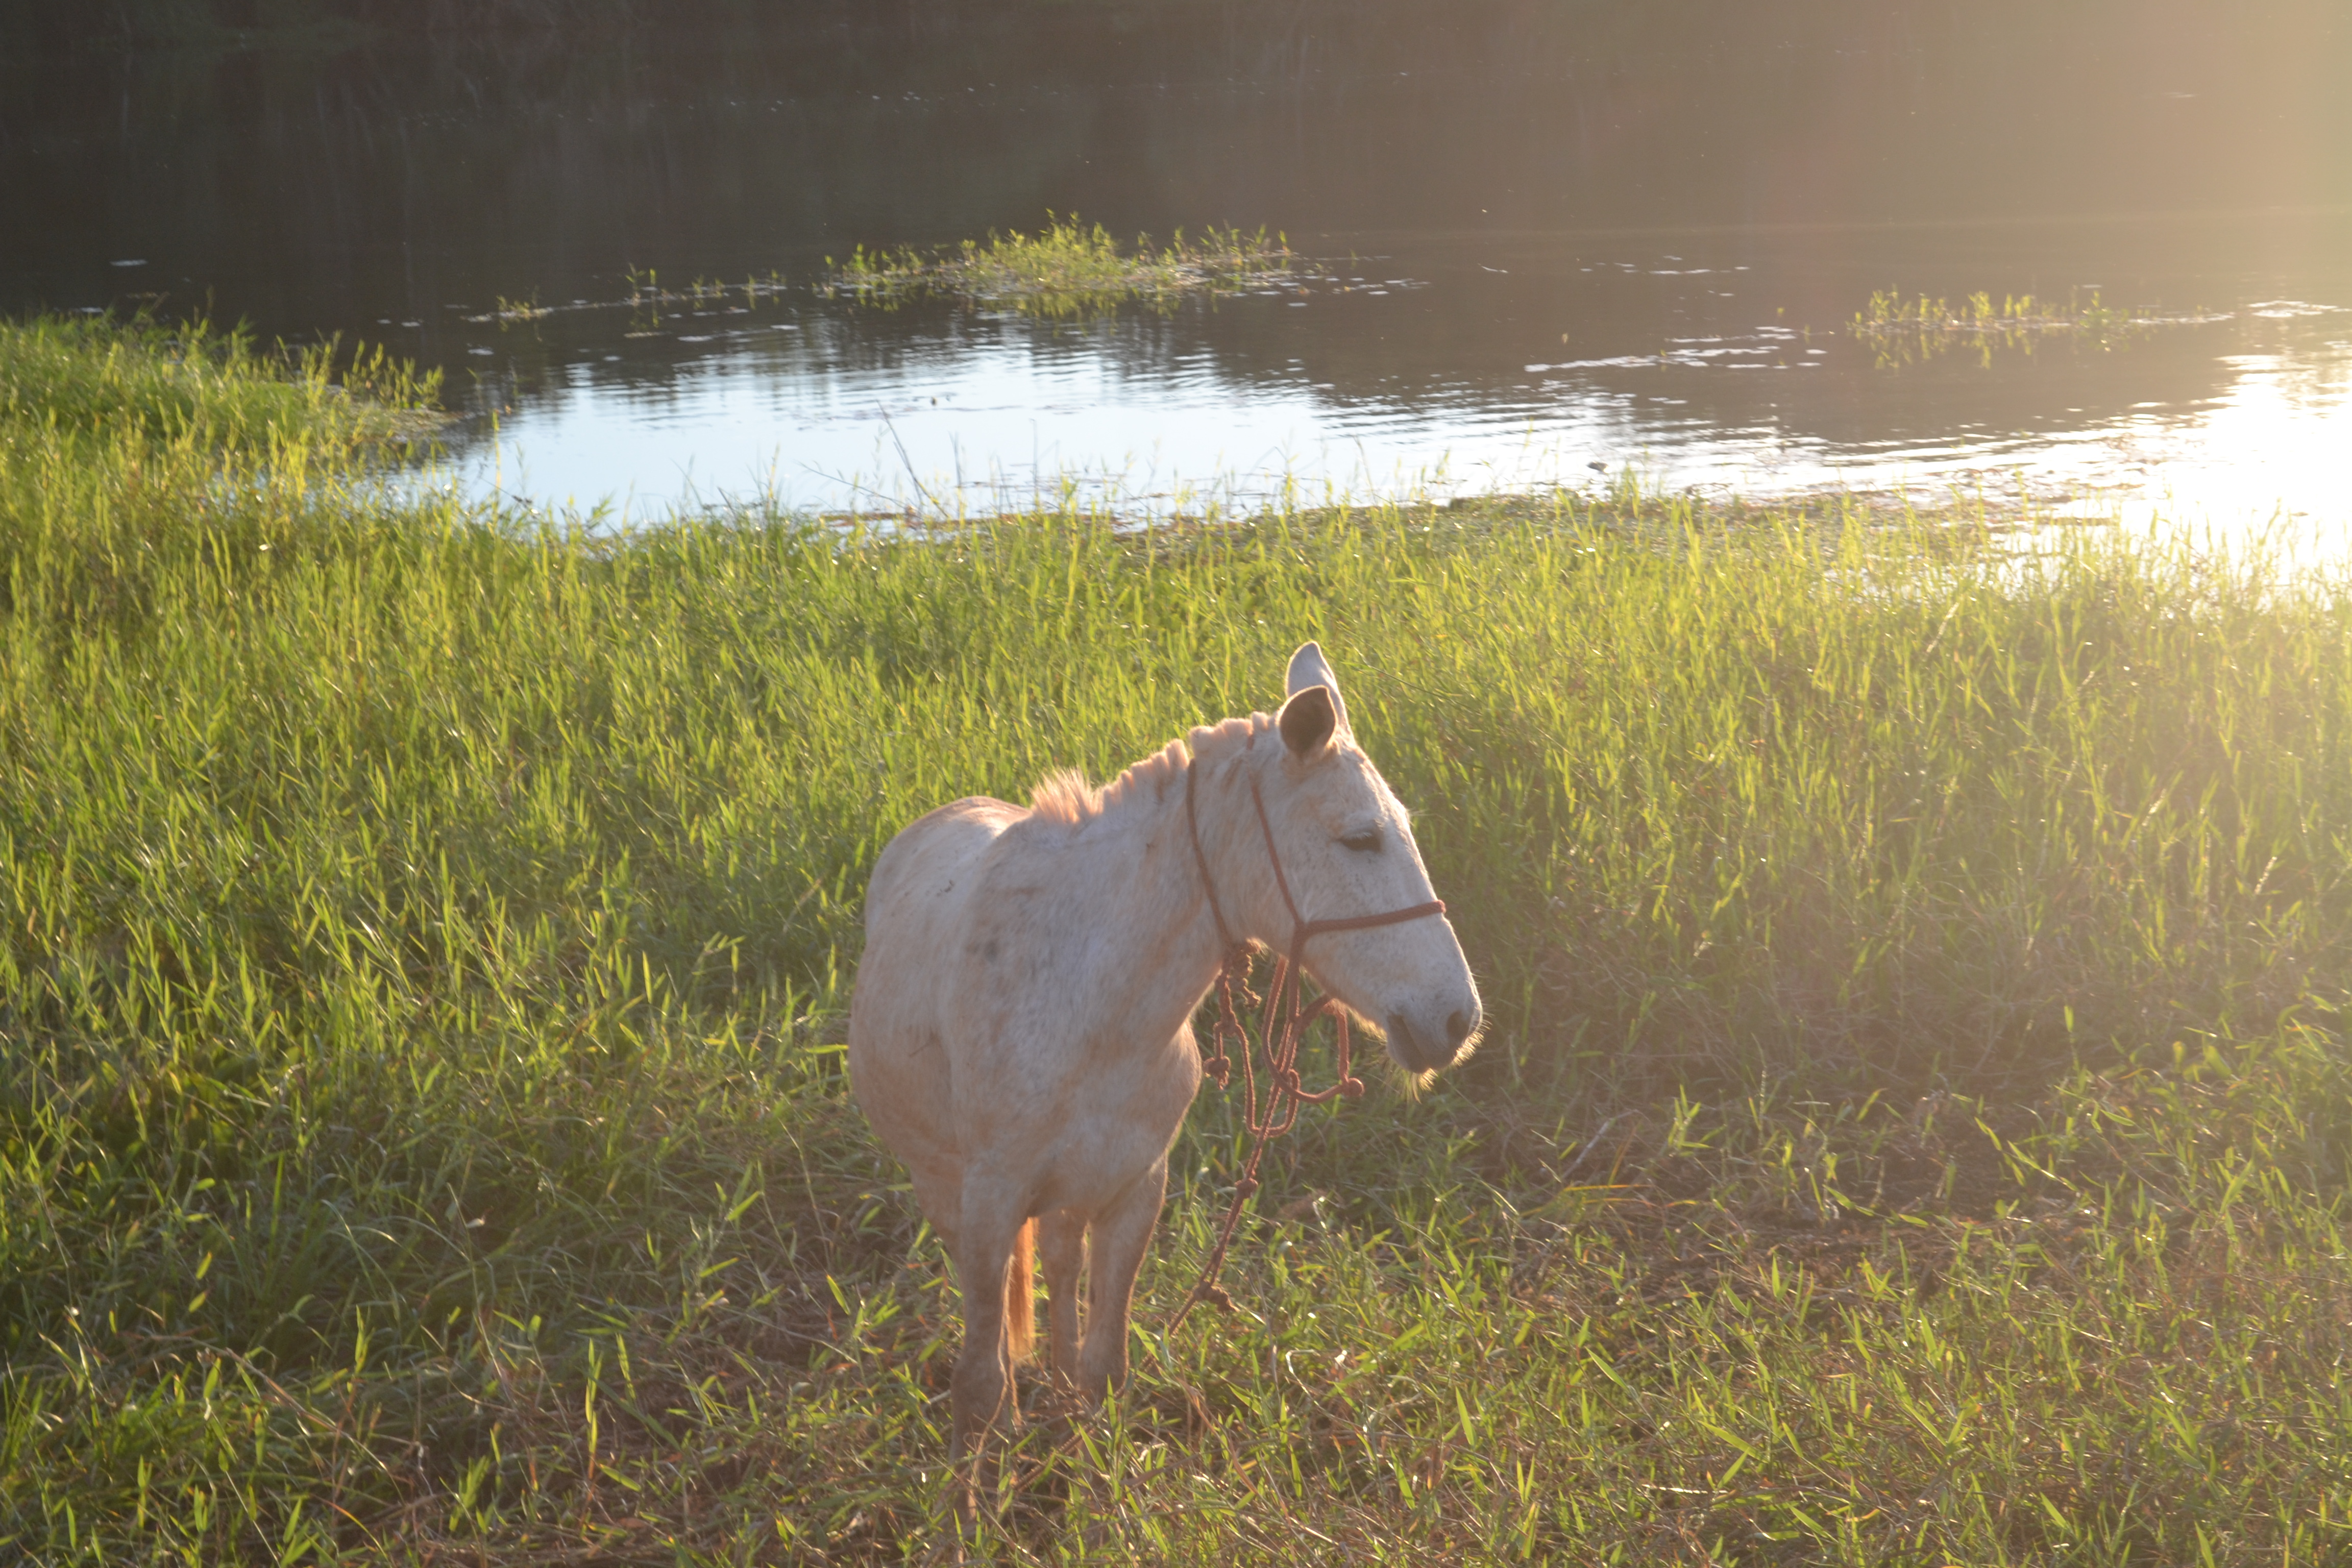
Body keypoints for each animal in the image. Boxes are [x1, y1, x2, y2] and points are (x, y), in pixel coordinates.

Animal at [847, 642, 1482, 1462]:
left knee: (1060, 1262)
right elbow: (979, 1384)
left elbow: (1105, 1367)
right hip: (946, 1185)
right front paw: (977, 1486)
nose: (1458, 1018)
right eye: (1360, 838)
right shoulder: (989, 1201)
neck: (1090, 1004)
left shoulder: (1135, 1191)